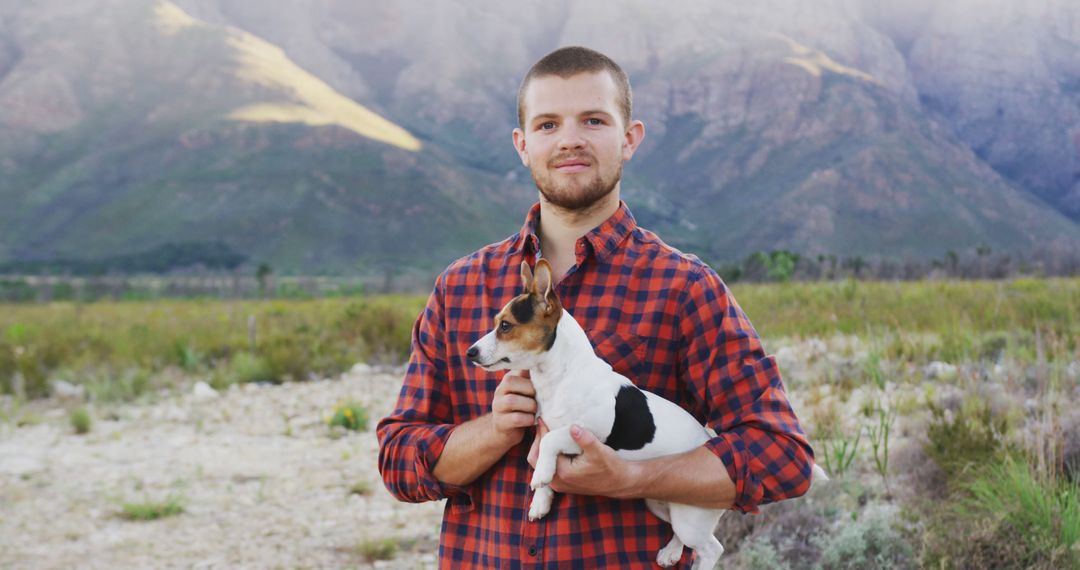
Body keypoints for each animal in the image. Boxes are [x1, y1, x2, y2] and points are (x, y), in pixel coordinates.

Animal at [468, 260, 829, 565]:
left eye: (505, 326)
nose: (470, 352)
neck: (561, 373)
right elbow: (548, 460)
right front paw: (540, 502)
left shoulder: (587, 432)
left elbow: (550, 442)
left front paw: (541, 475)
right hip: (659, 502)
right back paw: (670, 553)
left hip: (689, 520)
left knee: (712, 548)